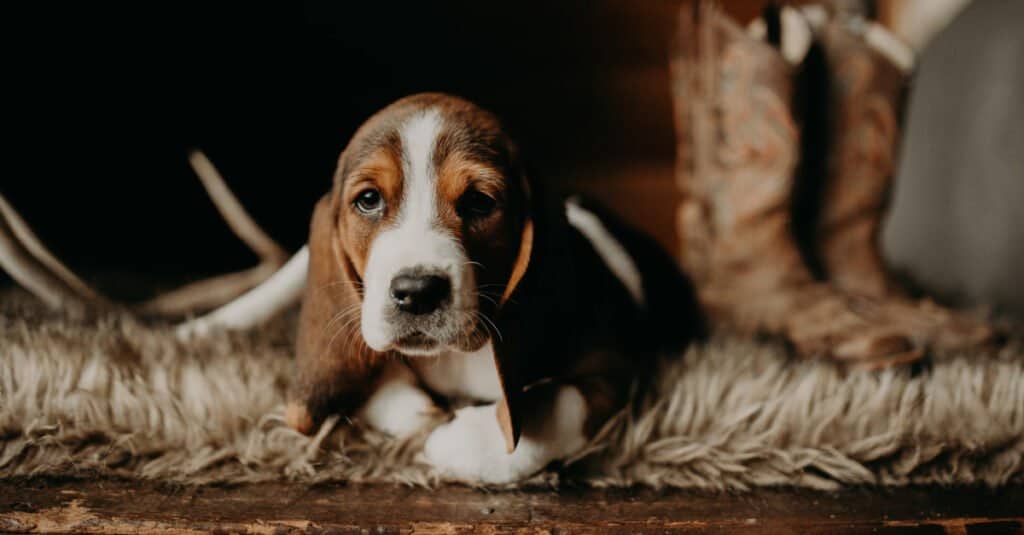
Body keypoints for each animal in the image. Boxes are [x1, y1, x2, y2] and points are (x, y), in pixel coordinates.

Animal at [284, 93, 700, 481]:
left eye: (479, 202)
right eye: (369, 199)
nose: (417, 291)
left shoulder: (617, 365)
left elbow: (560, 398)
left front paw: (467, 440)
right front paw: (416, 410)